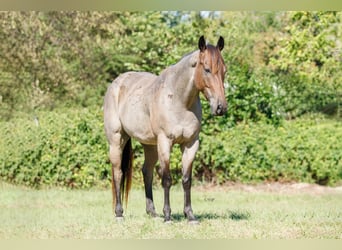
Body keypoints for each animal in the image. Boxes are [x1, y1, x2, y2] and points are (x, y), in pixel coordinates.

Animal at [104, 35, 227, 223]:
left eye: (224, 71)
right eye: (206, 69)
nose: (220, 107)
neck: (179, 100)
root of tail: (116, 83)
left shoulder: (191, 144)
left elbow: (186, 180)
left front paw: (190, 215)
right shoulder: (165, 142)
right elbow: (167, 178)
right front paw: (168, 216)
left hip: (150, 145)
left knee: (146, 172)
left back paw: (152, 212)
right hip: (117, 140)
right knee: (118, 173)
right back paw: (119, 213)